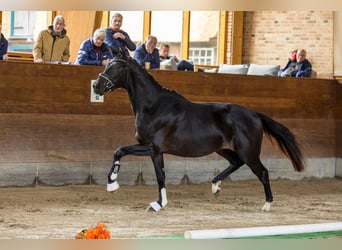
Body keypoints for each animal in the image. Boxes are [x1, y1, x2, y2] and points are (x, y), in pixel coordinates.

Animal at [93, 52, 304, 213]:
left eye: (116, 67)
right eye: (107, 64)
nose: (96, 86)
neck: (155, 107)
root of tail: (254, 115)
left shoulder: (153, 148)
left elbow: (127, 155)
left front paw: (149, 201)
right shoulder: (154, 150)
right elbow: (131, 158)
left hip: (249, 152)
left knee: (263, 172)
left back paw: (266, 205)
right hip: (222, 148)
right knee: (236, 162)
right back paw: (215, 187)